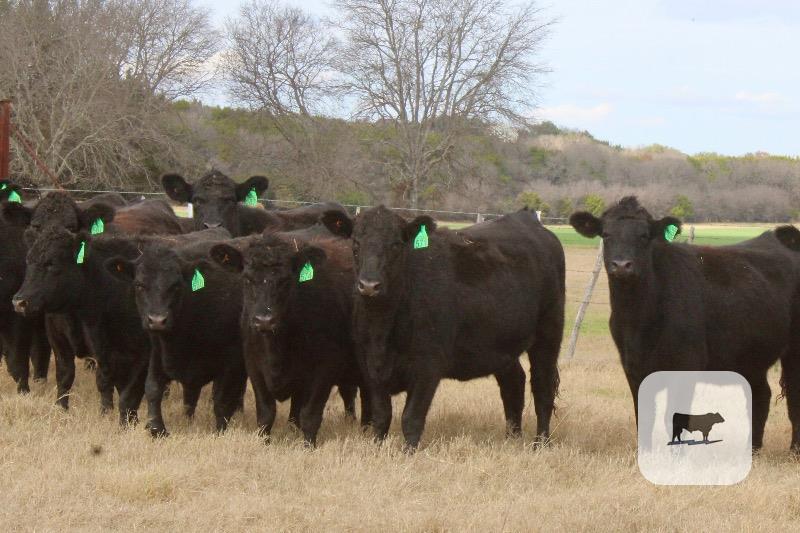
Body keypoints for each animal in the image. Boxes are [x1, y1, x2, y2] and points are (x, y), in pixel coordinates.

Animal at [105, 230, 247, 436]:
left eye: (176, 285)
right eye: (139, 285)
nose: (157, 320)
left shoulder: (231, 361)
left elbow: (221, 400)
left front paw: (220, 431)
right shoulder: (157, 351)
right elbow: (152, 388)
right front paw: (157, 428)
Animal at [209, 215, 370, 446]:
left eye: (285, 280)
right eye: (247, 279)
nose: (264, 320)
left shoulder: (324, 371)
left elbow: (310, 415)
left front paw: (308, 447)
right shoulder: (255, 367)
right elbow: (266, 414)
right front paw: (264, 443)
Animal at [325, 206, 565, 449]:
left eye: (396, 245)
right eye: (355, 243)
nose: (369, 285)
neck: (382, 328)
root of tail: (525, 218)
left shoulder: (428, 367)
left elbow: (411, 418)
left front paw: (408, 453)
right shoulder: (371, 367)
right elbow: (381, 416)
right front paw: (377, 448)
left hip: (549, 333)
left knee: (543, 388)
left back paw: (540, 444)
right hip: (502, 346)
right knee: (514, 383)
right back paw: (512, 438)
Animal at [570, 196, 800, 452]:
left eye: (644, 235)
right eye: (606, 234)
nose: (621, 265)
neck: (639, 318)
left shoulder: (686, 364)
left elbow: (675, 415)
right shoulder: (633, 366)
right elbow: (644, 415)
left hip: (793, 352)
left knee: (794, 399)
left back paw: (793, 451)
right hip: (750, 356)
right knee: (761, 395)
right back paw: (753, 450)